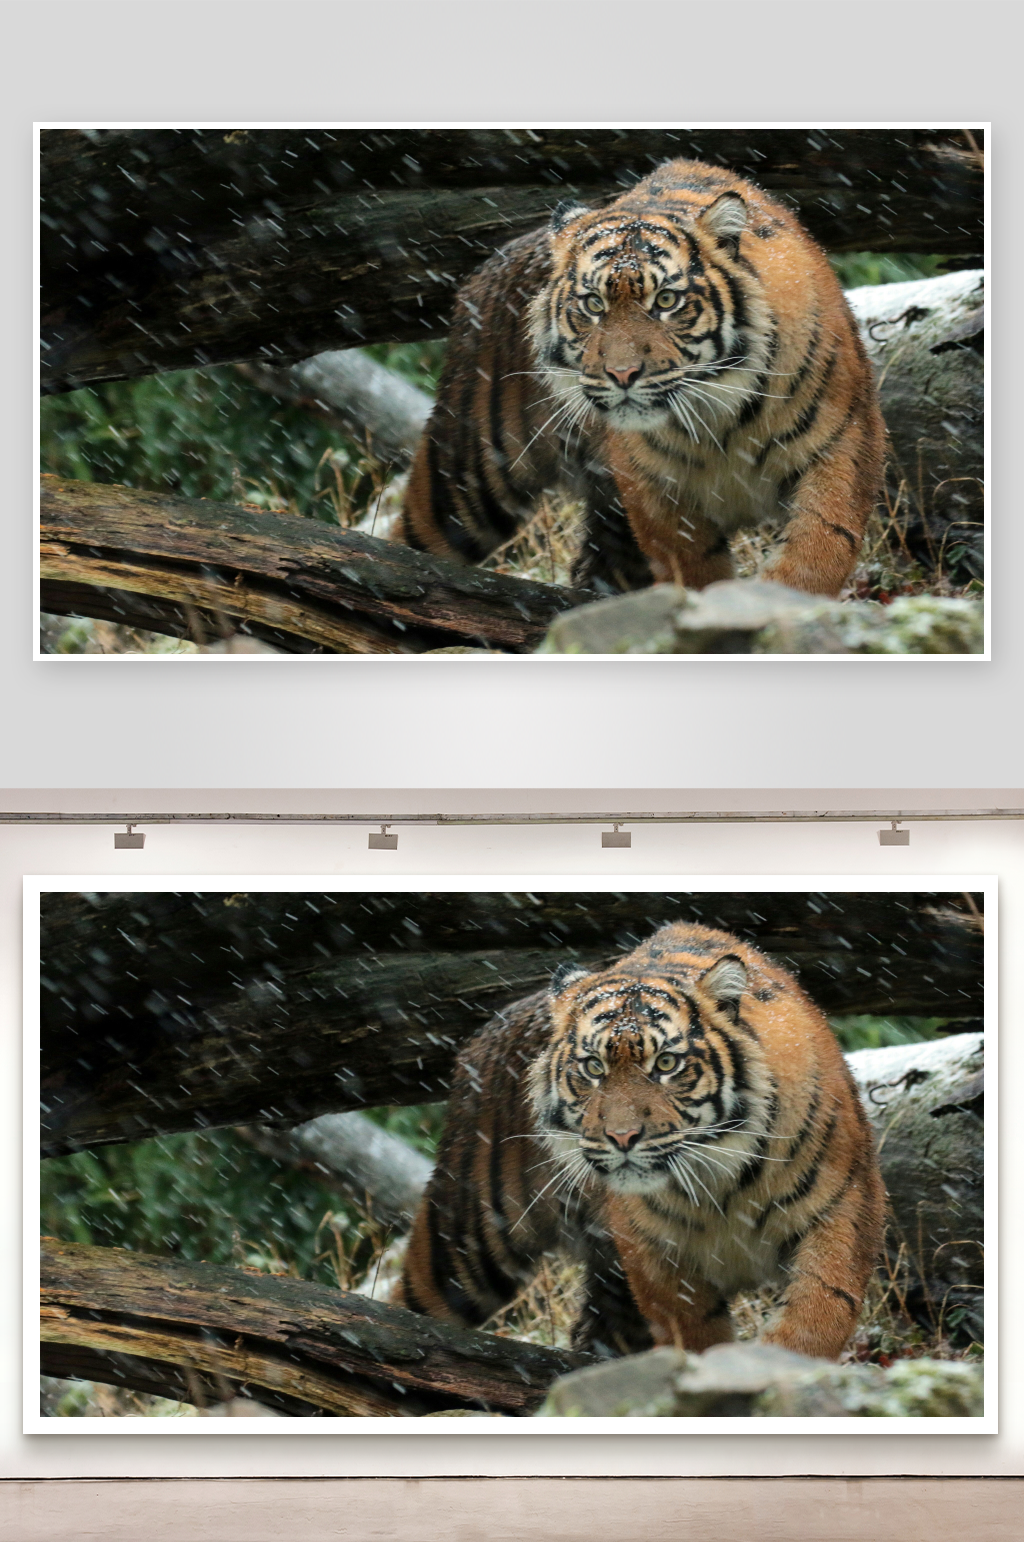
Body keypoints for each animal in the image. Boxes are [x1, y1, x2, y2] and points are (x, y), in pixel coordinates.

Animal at [397, 921, 885, 1365]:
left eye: (666, 1064)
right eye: (593, 1068)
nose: (622, 1137)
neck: (719, 1183)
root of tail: (482, 1033)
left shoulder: (844, 1206)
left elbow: (818, 1313)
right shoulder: (651, 1249)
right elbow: (693, 1329)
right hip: (467, 1239)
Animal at [401, 157, 885, 599]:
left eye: (666, 301)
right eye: (593, 304)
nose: (622, 373)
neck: (719, 421)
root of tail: (484, 267)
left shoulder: (844, 442)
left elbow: (818, 551)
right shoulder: (652, 488)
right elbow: (692, 567)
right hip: (467, 476)